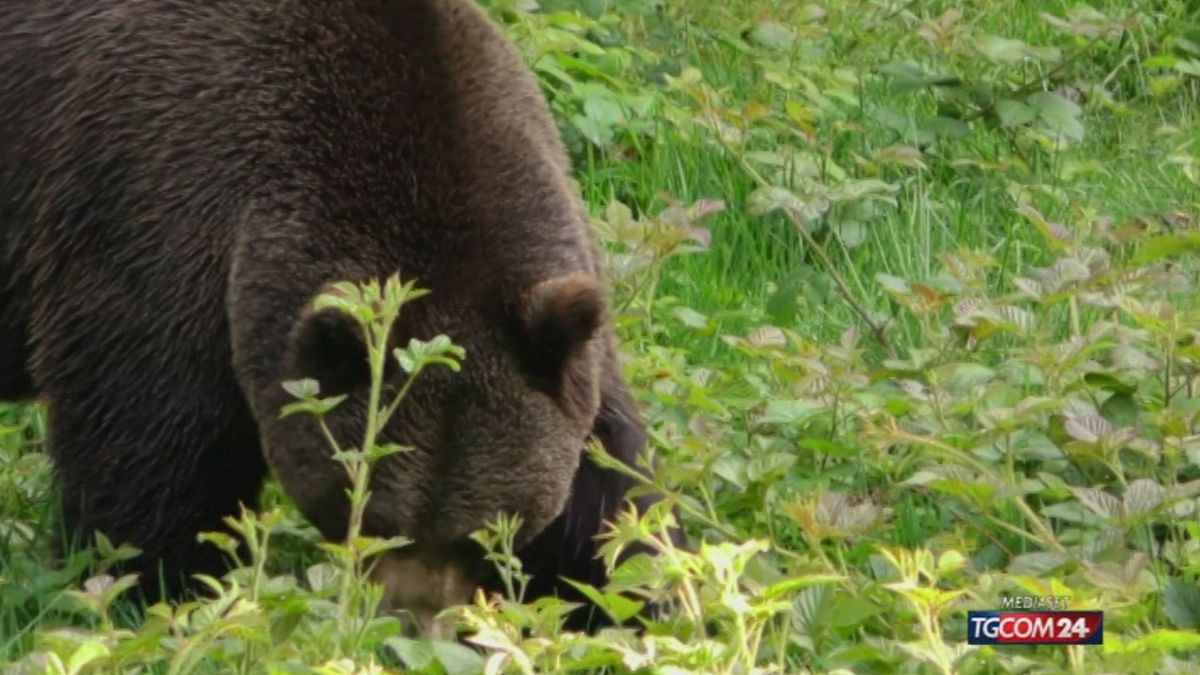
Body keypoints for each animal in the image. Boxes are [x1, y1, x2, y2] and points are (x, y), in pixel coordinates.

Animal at [0, 1, 676, 629]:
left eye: (485, 531)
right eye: (372, 517)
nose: (411, 623)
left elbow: (611, 485)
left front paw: (632, 598)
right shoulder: (156, 223)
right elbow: (147, 459)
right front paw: (156, 593)